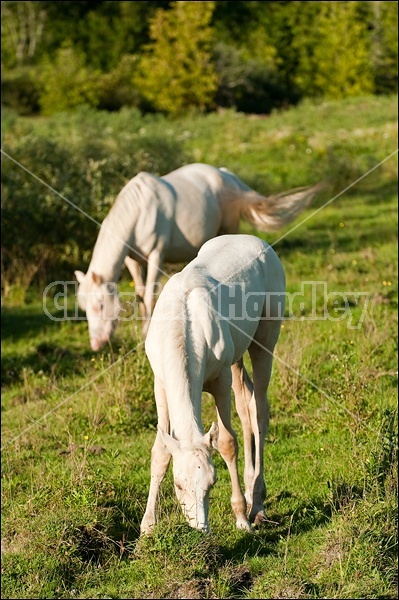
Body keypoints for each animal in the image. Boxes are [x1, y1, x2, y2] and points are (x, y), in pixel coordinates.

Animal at [74, 162, 318, 350]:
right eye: (85, 308)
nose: (96, 344)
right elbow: (141, 294)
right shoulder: (132, 260)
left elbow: (150, 294)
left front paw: (146, 331)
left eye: (99, 305)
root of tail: (227, 176)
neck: (140, 211)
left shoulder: (156, 255)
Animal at [142, 232, 286, 532]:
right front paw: (147, 527)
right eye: (178, 485)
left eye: (211, 483)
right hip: (237, 356)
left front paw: (241, 517)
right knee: (246, 403)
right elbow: (160, 450)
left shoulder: (220, 380)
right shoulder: (160, 384)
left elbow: (227, 442)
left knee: (260, 410)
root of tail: (256, 241)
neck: (184, 324)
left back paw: (257, 504)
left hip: (265, 339)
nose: (201, 528)